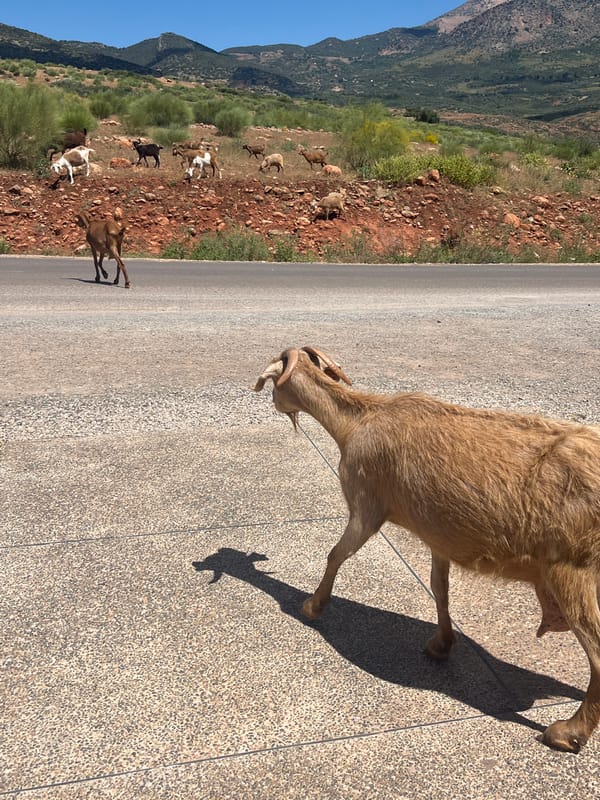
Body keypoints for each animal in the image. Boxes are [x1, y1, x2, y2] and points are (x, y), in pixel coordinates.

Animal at [254, 345, 600, 753]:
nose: (273, 402)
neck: (355, 424)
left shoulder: (366, 503)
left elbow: (337, 553)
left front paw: (312, 606)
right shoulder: (438, 534)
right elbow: (439, 588)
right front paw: (441, 644)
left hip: (572, 569)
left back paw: (567, 732)